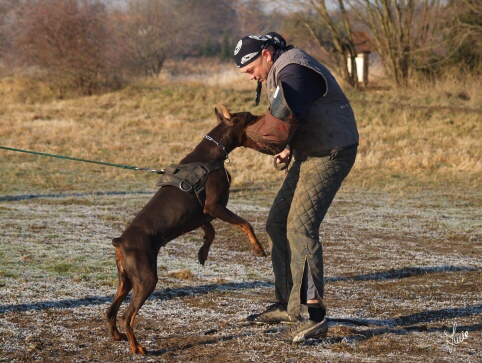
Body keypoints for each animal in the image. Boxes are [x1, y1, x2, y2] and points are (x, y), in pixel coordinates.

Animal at [105, 105, 268, 356]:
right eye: (249, 116)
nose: (264, 114)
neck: (213, 152)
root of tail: (120, 242)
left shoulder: (201, 213)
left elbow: (211, 232)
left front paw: (202, 254)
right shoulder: (214, 206)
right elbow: (245, 223)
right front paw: (258, 248)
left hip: (126, 280)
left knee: (110, 311)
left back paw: (117, 336)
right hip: (146, 279)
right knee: (127, 315)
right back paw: (136, 347)